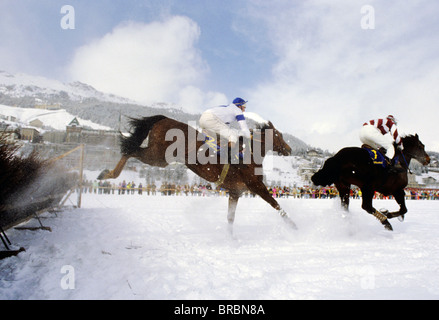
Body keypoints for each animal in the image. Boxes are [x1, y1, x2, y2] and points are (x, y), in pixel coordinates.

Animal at [96, 115, 296, 232]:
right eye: (279, 135)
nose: (289, 148)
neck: (249, 152)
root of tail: (163, 118)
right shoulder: (256, 185)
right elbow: (276, 205)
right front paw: (294, 227)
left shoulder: (235, 192)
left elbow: (230, 218)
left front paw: (231, 239)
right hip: (158, 156)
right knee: (130, 151)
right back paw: (108, 174)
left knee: (131, 150)